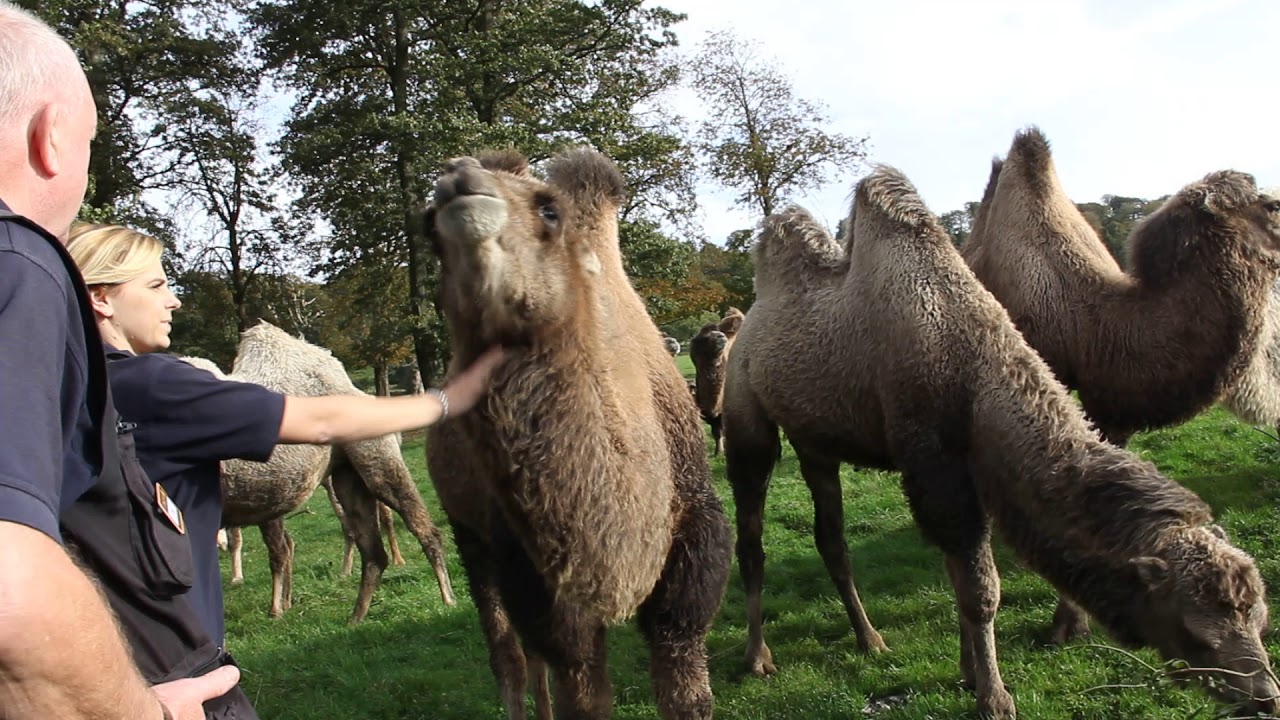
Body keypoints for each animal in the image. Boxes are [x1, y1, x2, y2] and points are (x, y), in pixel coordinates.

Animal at [181, 323, 456, 623]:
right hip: (346, 476)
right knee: (372, 550)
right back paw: (355, 617)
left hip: (377, 459)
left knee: (422, 527)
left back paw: (448, 599)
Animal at [424, 147, 733, 720]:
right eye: (427, 227)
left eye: (549, 210)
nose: (458, 179)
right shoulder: (529, 562)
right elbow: (581, 686)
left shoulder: (696, 536)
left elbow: (685, 681)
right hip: (468, 531)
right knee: (508, 653)